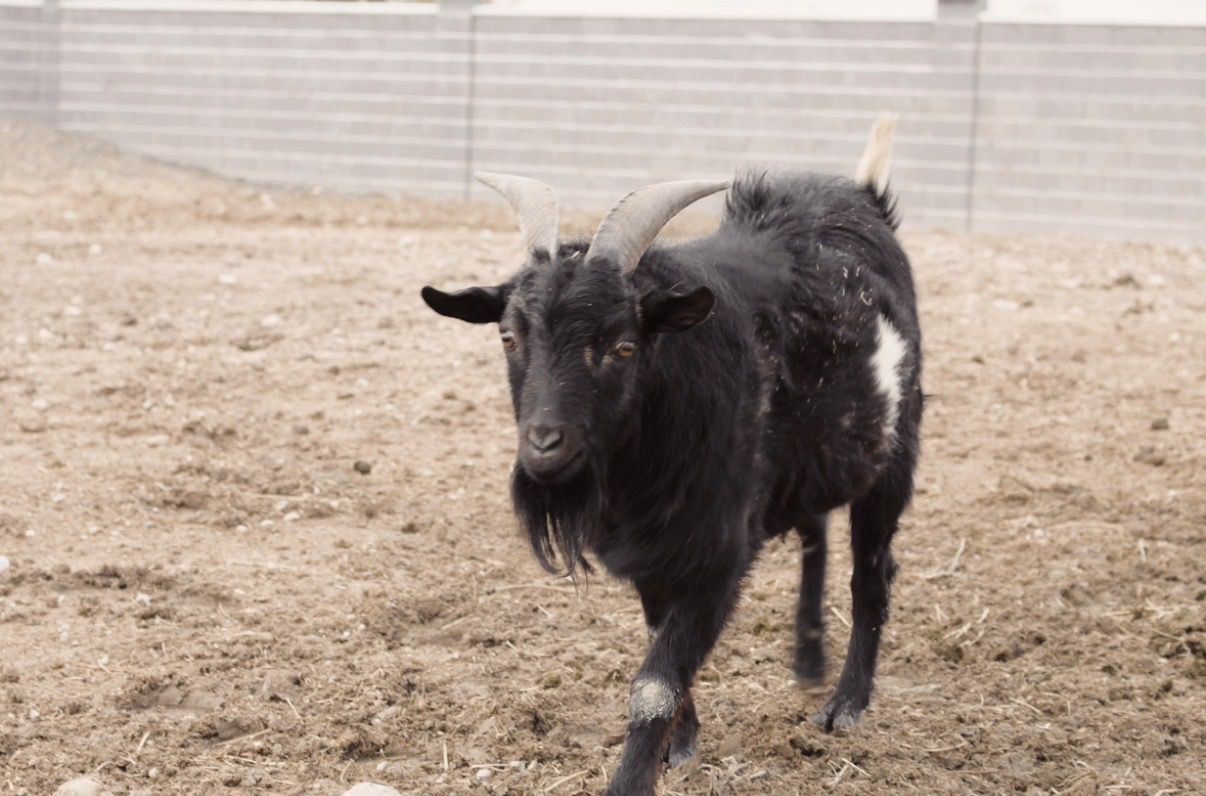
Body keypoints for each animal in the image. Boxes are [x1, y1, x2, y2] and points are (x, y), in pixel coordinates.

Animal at [421, 115, 922, 795]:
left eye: (624, 346)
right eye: (508, 337)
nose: (545, 447)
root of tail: (863, 198)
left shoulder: (716, 556)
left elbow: (655, 683)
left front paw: (632, 780)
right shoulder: (650, 556)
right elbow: (662, 648)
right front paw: (680, 746)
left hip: (892, 461)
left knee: (871, 574)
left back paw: (844, 705)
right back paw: (809, 660)